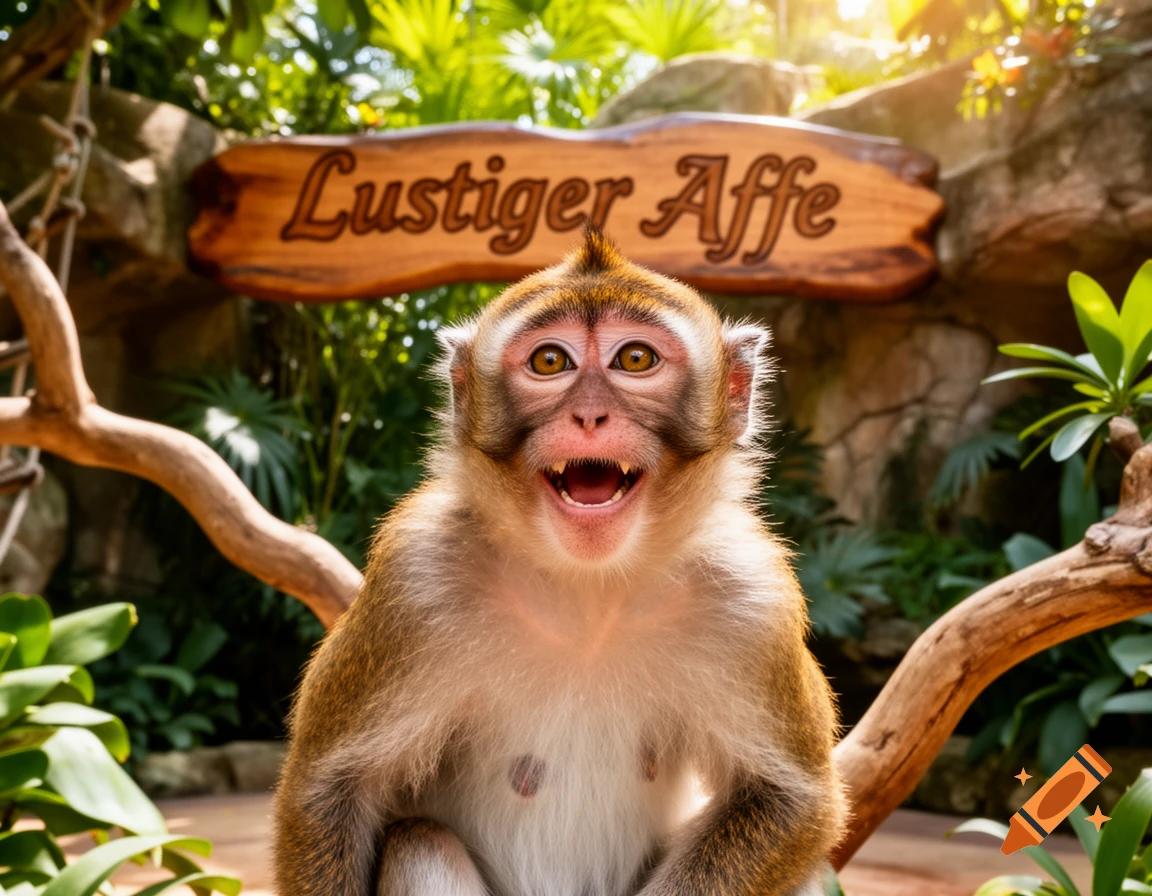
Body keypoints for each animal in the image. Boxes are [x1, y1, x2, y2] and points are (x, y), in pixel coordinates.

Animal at [273, 226, 846, 896]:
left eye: (635, 359)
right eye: (550, 361)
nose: (590, 415)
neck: (587, 590)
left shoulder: (750, 599)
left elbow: (787, 798)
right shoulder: (415, 579)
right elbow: (333, 792)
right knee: (420, 840)